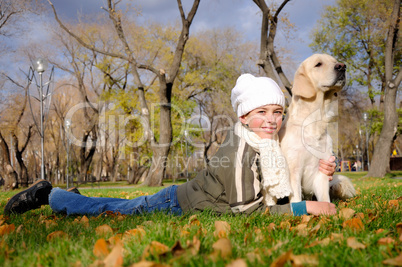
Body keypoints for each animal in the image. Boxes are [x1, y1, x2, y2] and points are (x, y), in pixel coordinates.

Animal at [280, 53, 354, 202]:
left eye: (335, 61)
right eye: (318, 64)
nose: (342, 66)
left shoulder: (321, 170)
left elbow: (325, 199)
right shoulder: (294, 169)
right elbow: (296, 198)